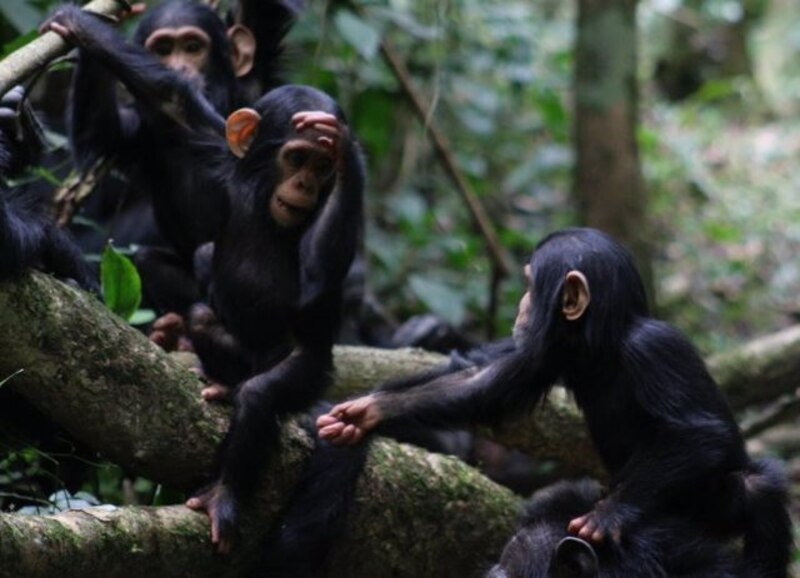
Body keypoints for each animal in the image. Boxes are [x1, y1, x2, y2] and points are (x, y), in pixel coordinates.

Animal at [320, 227, 792, 576]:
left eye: (531, 283)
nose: (522, 304)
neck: (603, 343)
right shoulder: (548, 352)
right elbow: (483, 386)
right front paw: (368, 411)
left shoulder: (656, 349)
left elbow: (698, 432)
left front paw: (609, 514)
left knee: (756, 487)